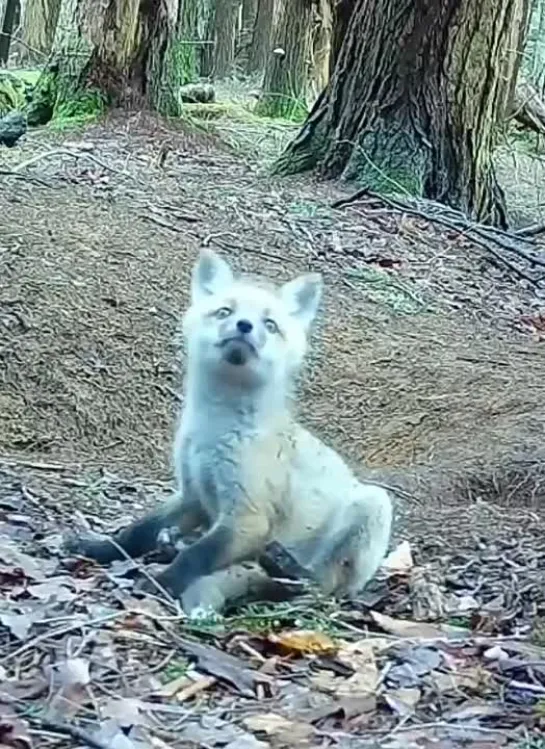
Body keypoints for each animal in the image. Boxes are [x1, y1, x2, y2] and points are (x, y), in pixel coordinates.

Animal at [63, 248, 394, 616]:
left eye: (270, 324)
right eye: (225, 311)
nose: (244, 326)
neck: (214, 435)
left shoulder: (248, 517)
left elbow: (196, 556)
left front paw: (162, 583)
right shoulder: (192, 494)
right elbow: (136, 532)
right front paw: (99, 548)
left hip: (373, 506)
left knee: (321, 586)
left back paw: (288, 577)